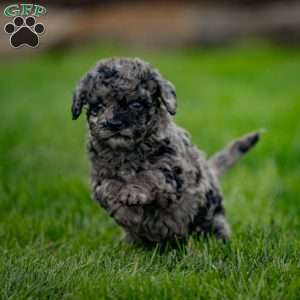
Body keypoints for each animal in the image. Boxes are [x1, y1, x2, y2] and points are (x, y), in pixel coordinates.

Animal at [72, 56, 260, 246]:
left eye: (136, 104)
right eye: (98, 106)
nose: (114, 124)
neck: (126, 150)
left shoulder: (171, 174)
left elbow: (149, 175)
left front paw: (132, 193)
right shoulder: (98, 178)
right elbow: (108, 188)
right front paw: (126, 211)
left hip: (211, 215)